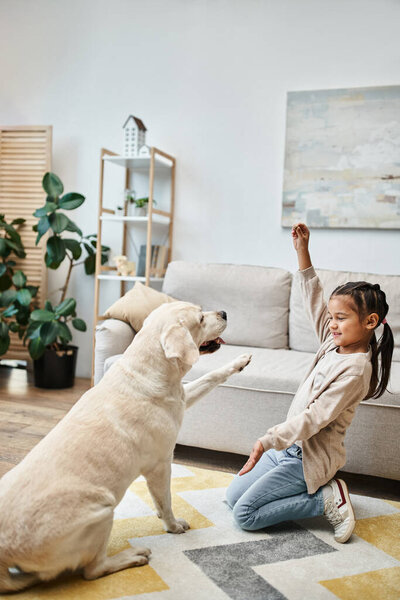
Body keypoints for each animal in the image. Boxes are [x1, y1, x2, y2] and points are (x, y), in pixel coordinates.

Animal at [0, 300, 250, 592]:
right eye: (200, 318)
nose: (224, 313)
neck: (151, 368)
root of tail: (5, 554)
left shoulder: (182, 397)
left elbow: (210, 377)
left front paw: (240, 362)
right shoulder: (161, 464)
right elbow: (166, 501)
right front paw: (173, 525)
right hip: (103, 511)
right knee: (93, 570)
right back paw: (132, 555)